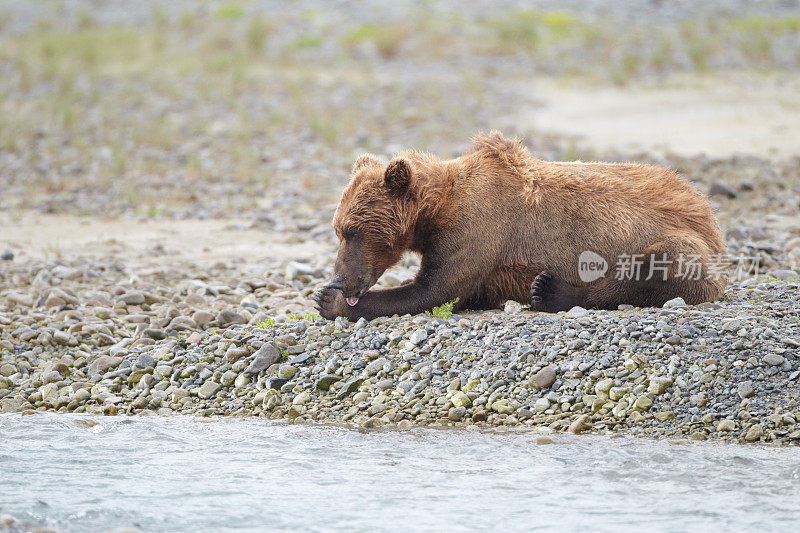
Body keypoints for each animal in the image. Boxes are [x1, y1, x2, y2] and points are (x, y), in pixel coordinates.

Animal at [310, 131, 724, 320]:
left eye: (354, 232)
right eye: (339, 230)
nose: (339, 281)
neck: (436, 211)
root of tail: (708, 212)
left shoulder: (477, 230)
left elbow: (435, 290)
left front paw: (328, 301)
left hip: (677, 237)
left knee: (660, 267)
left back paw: (550, 291)